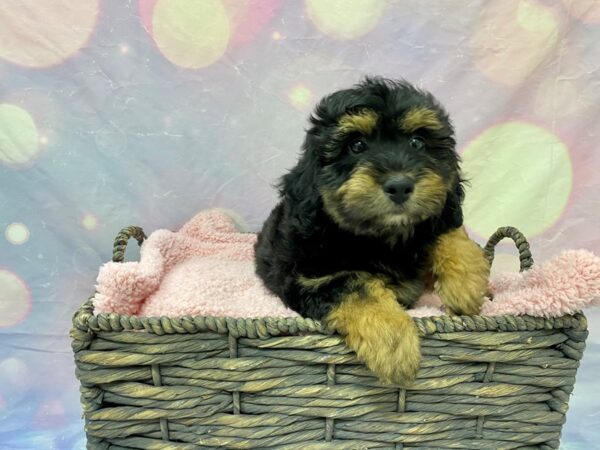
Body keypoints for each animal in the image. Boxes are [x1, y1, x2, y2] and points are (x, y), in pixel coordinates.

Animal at [255, 77, 490, 386]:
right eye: (356, 145)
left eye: (418, 142)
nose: (400, 185)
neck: (379, 239)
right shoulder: (305, 279)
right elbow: (354, 284)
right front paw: (392, 341)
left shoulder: (437, 218)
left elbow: (448, 231)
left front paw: (466, 285)